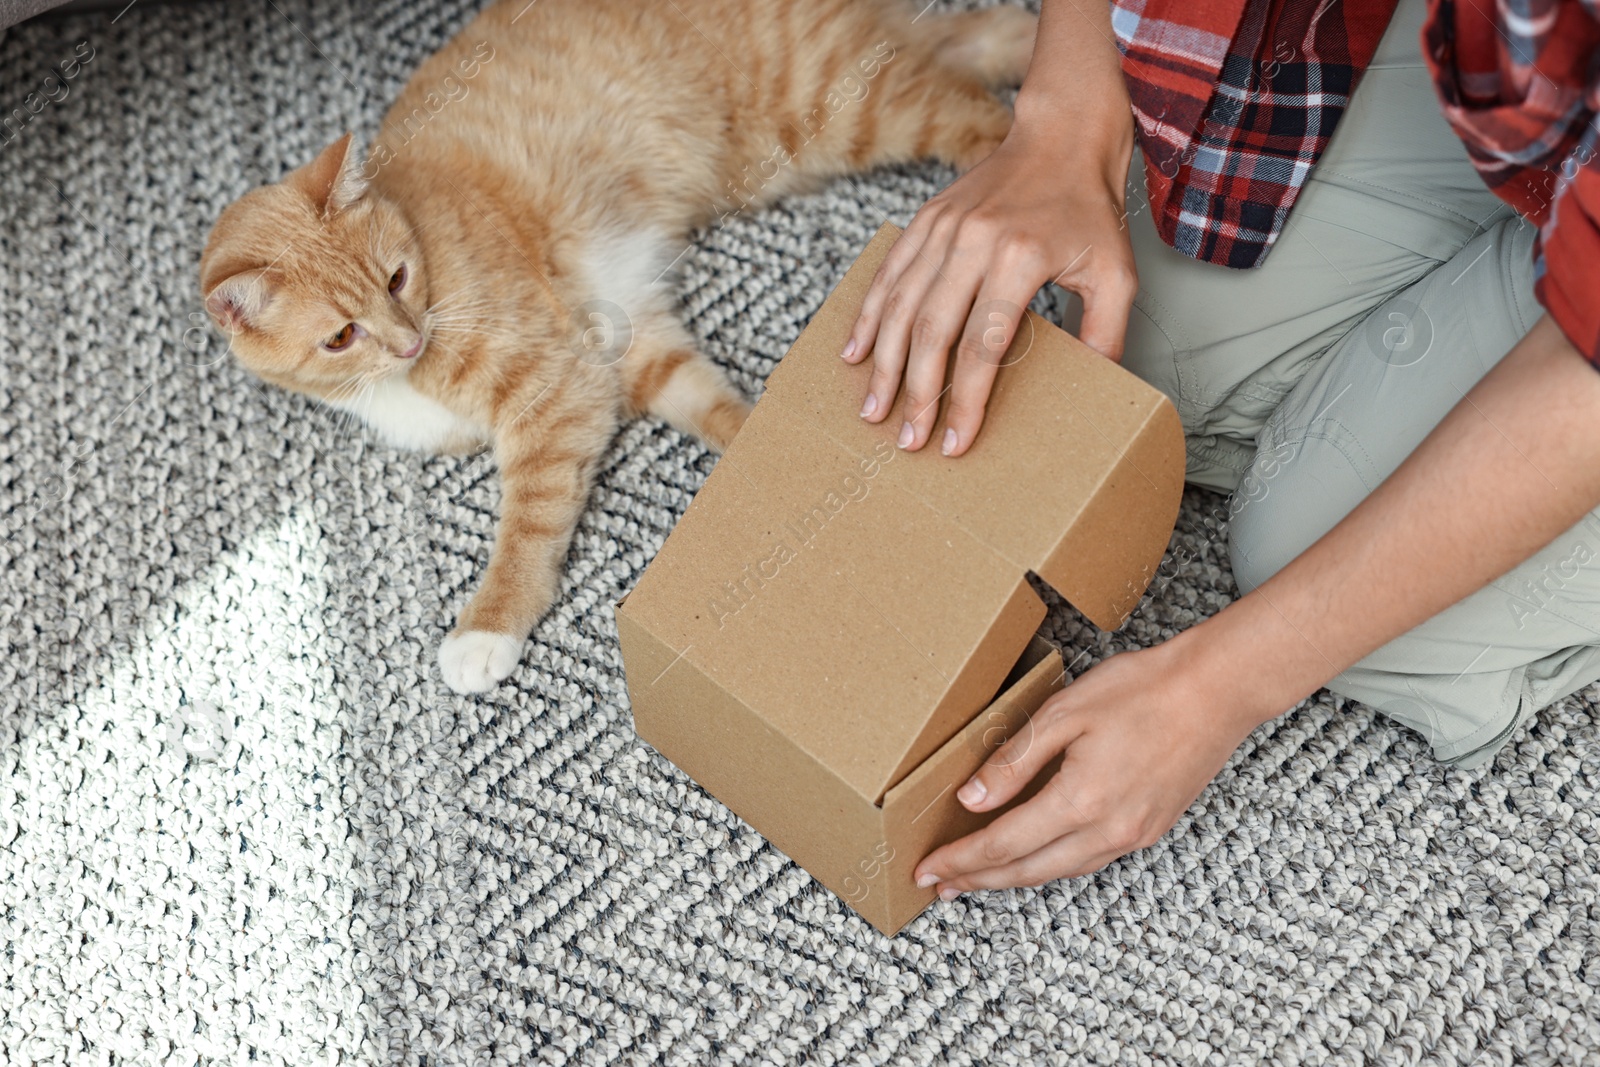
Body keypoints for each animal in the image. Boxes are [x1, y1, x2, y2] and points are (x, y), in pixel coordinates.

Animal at [200, 0, 1036, 697]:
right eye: (342, 336)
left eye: (397, 277)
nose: (409, 341)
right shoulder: (628, 346)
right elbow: (719, 412)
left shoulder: (552, 391)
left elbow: (526, 525)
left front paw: (486, 628)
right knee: (955, 48)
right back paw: (1016, 47)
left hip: (846, 108)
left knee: (984, 119)